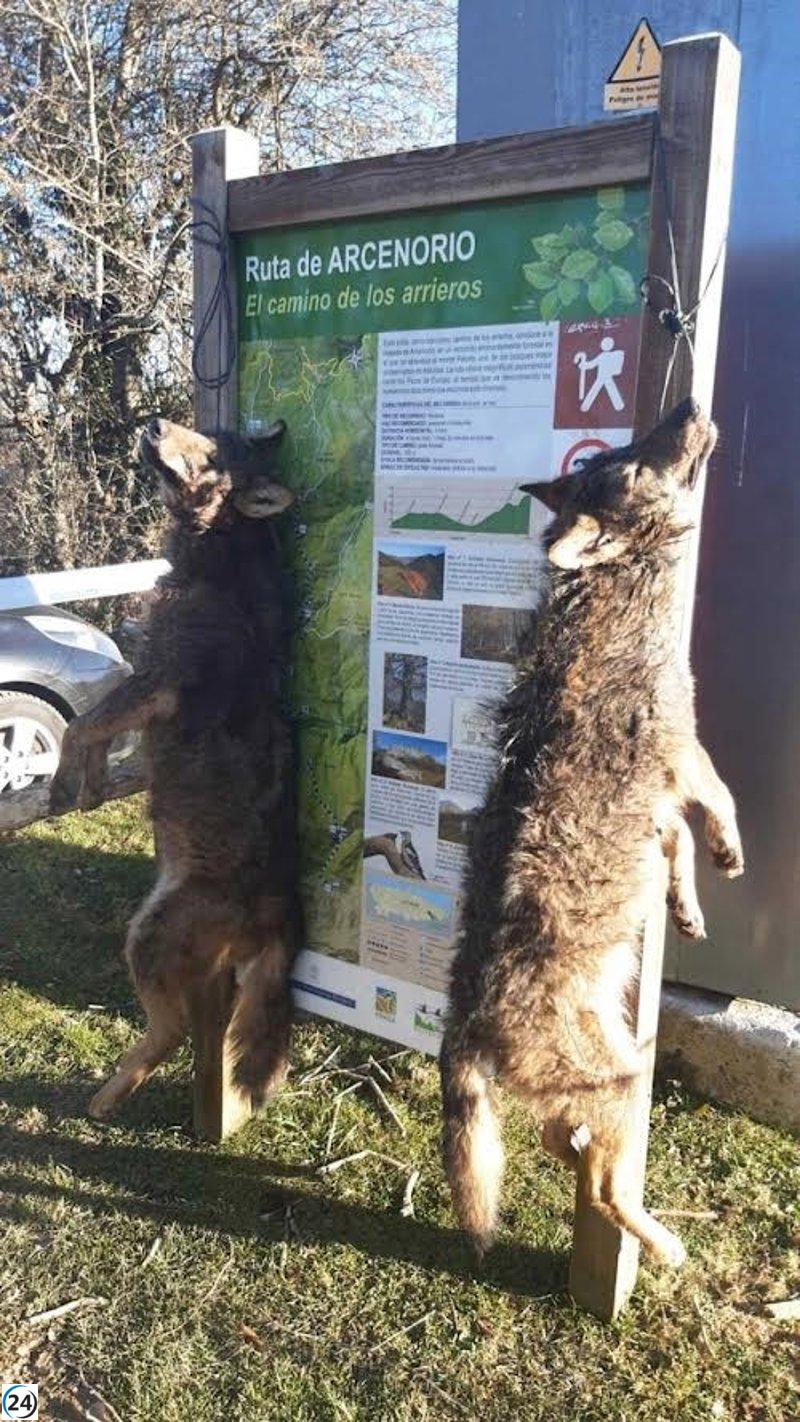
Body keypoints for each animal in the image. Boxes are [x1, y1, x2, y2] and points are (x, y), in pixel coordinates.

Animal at [49, 417, 299, 1118]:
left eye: (212, 454)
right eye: (211, 430)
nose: (156, 423)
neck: (218, 564)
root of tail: (280, 921)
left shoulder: (155, 684)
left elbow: (79, 724)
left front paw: (60, 784)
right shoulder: (139, 680)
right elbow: (96, 727)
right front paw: (91, 784)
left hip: (147, 937)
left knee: (173, 1031)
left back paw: (104, 1098)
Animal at [441, 399, 743, 1268]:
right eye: (634, 464)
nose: (687, 406)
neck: (614, 588)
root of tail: (462, 1015)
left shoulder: (660, 797)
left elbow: (676, 846)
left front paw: (687, 905)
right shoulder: (683, 746)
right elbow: (721, 799)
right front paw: (731, 852)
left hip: (605, 1079)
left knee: (559, 1146)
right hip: (622, 1085)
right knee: (604, 1186)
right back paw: (664, 1245)